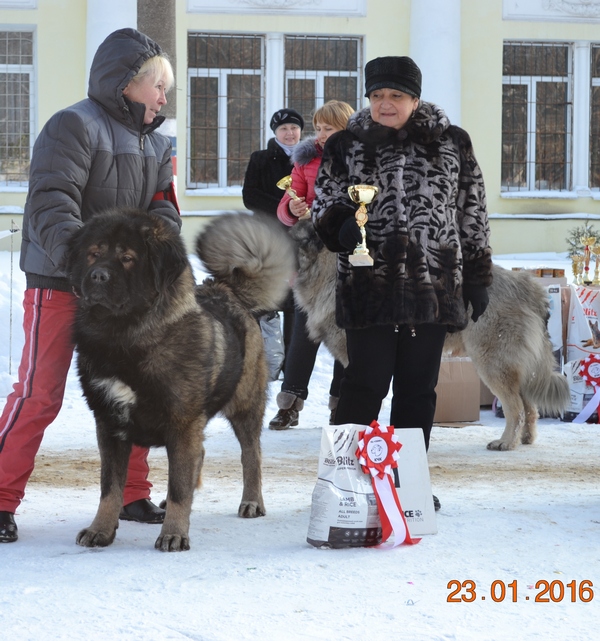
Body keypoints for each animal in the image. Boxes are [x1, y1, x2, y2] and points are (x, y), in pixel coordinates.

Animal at [66, 210, 296, 552]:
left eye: (127, 258)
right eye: (94, 254)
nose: (97, 276)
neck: (126, 337)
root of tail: (227, 289)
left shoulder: (182, 423)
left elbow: (178, 487)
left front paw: (173, 534)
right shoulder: (109, 424)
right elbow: (110, 488)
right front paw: (101, 530)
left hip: (244, 406)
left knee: (251, 455)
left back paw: (252, 502)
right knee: (201, 456)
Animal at [292, 220, 568, 450]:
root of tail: (528, 287)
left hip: (492, 363)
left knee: (516, 408)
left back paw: (506, 442)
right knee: (529, 406)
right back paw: (525, 438)